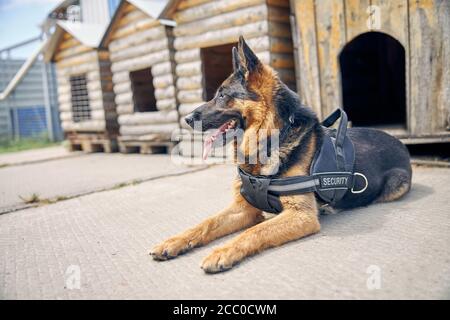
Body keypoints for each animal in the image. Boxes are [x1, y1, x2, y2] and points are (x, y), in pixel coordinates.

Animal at [150, 37, 412, 272]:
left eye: (222, 95)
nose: (187, 119)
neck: (268, 142)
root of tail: (399, 142)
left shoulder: (300, 216)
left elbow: (254, 230)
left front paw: (222, 251)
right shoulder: (243, 209)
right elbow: (206, 223)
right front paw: (174, 241)